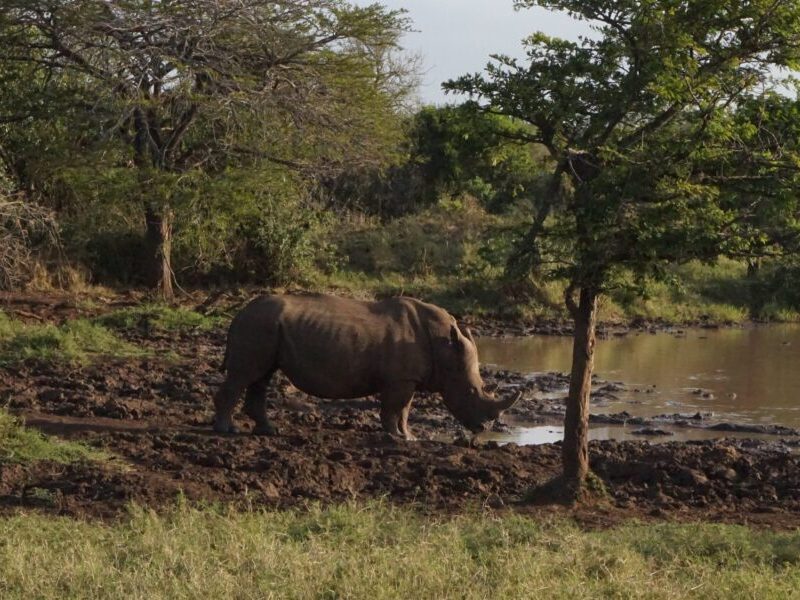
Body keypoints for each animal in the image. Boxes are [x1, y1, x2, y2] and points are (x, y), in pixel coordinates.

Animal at [213, 293, 520, 439]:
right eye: (470, 392)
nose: (483, 427)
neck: (445, 345)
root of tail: (238, 314)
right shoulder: (400, 379)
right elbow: (395, 407)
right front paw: (397, 436)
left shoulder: (405, 378)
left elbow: (404, 409)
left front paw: (408, 437)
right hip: (258, 325)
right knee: (245, 375)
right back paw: (228, 430)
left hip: (264, 327)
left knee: (261, 377)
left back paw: (269, 431)